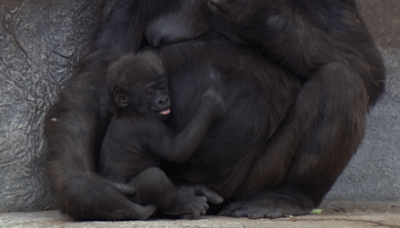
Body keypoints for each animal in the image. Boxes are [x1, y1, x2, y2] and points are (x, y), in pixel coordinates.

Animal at [99, 52, 227, 218]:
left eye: (163, 87)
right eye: (150, 92)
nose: (164, 99)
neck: (129, 111)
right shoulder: (150, 126)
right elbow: (175, 151)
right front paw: (209, 107)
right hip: (130, 196)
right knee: (155, 178)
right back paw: (182, 204)